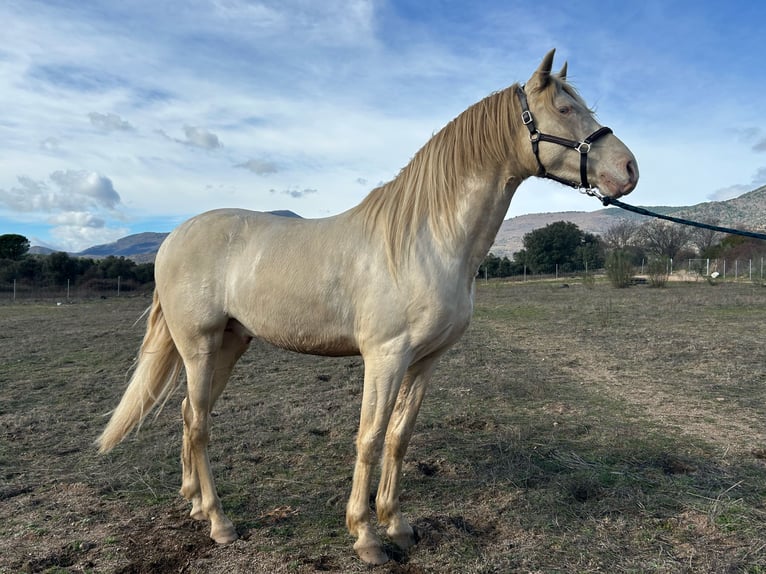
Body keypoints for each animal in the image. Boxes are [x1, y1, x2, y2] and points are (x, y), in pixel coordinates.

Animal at [99, 50, 640, 568]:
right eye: (565, 109)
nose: (630, 169)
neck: (428, 239)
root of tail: (173, 238)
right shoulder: (385, 356)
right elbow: (370, 437)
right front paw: (365, 537)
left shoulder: (425, 361)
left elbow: (399, 438)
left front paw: (397, 525)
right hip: (200, 344)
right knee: (198, 423)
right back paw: (219, 522)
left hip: (231, 342)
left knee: (191, 412)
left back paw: (193, 502)